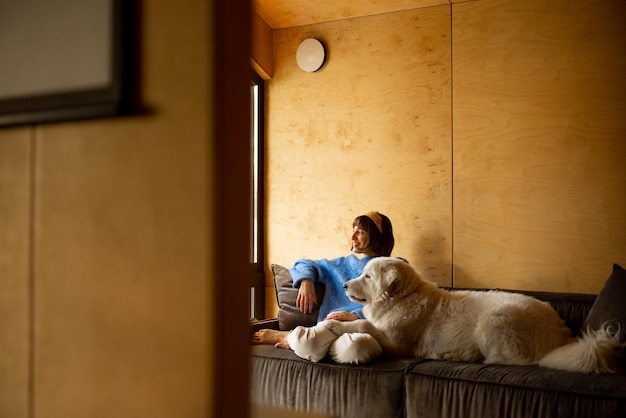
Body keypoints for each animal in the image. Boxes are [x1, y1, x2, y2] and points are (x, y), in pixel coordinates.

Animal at [324, 256, 620, 374]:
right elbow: (363, 320)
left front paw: (337, 327)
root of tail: (561, 337)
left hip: (495, 320)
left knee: (504, 360)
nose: (345, 285)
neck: (402, 298)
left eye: (368, 276)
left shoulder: (396, 344)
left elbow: (365, 324)